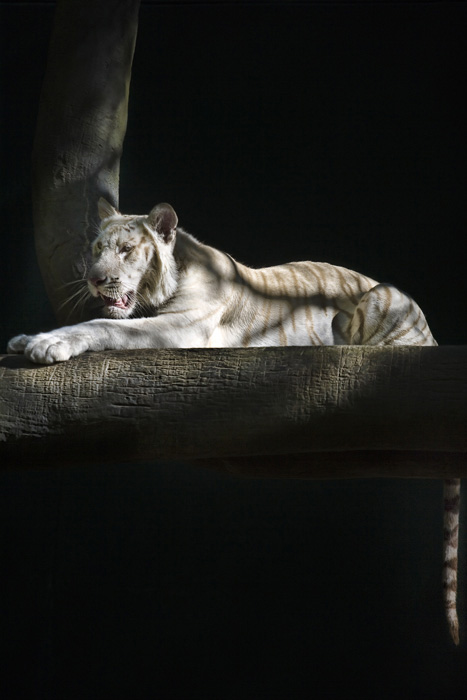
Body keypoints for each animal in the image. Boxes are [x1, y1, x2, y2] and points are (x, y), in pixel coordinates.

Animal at [7, 197, 460, 643]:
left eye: (126, 249)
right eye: (98, 248)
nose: (96, 280)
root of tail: (433, 333)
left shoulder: (178, 329)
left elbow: (103, 325)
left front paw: (48, 342)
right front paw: (24, 338)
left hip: (384, 297)